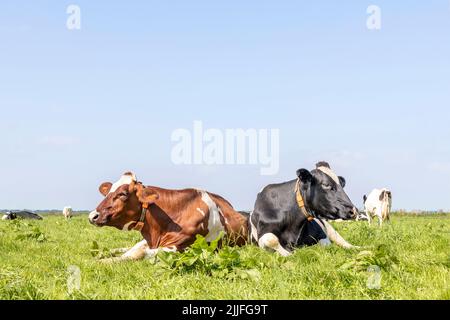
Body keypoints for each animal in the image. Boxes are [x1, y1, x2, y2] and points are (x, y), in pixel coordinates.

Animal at [88, 172, 250, 262]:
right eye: (109, 191)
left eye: (122, 194)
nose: (92, 216)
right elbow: (132, 251)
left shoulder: (181, 248)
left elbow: (139, 254)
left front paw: (102, 262)